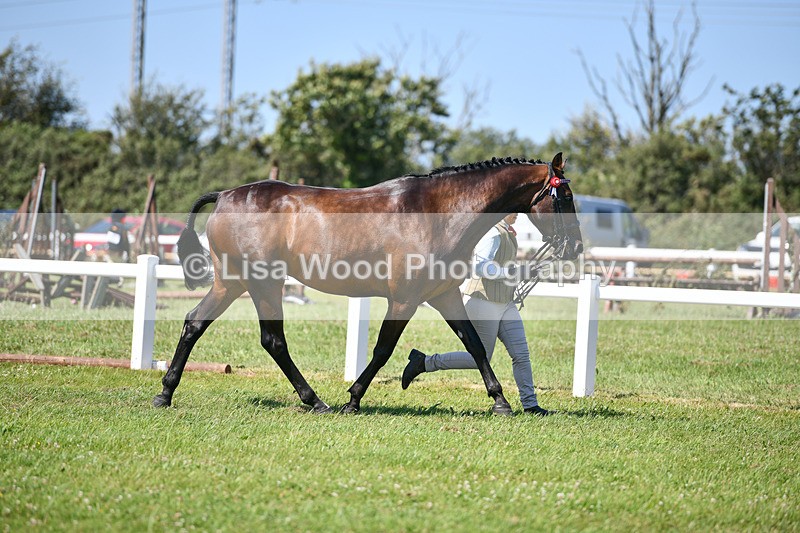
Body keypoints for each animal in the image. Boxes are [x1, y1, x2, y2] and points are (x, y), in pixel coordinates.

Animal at [152, 153, 583, 415]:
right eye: (565, 197)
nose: (577, 246)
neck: (440, 215)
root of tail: (225, 195)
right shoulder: (404, 300)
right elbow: (382, 350)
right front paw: (353, 400)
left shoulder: (444, 295)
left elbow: (475, 344)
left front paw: (501, 401)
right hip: (262, 285)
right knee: (272, 340)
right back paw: (316, 401)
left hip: (233, 283)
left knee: (194, 323)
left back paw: (165, 393)